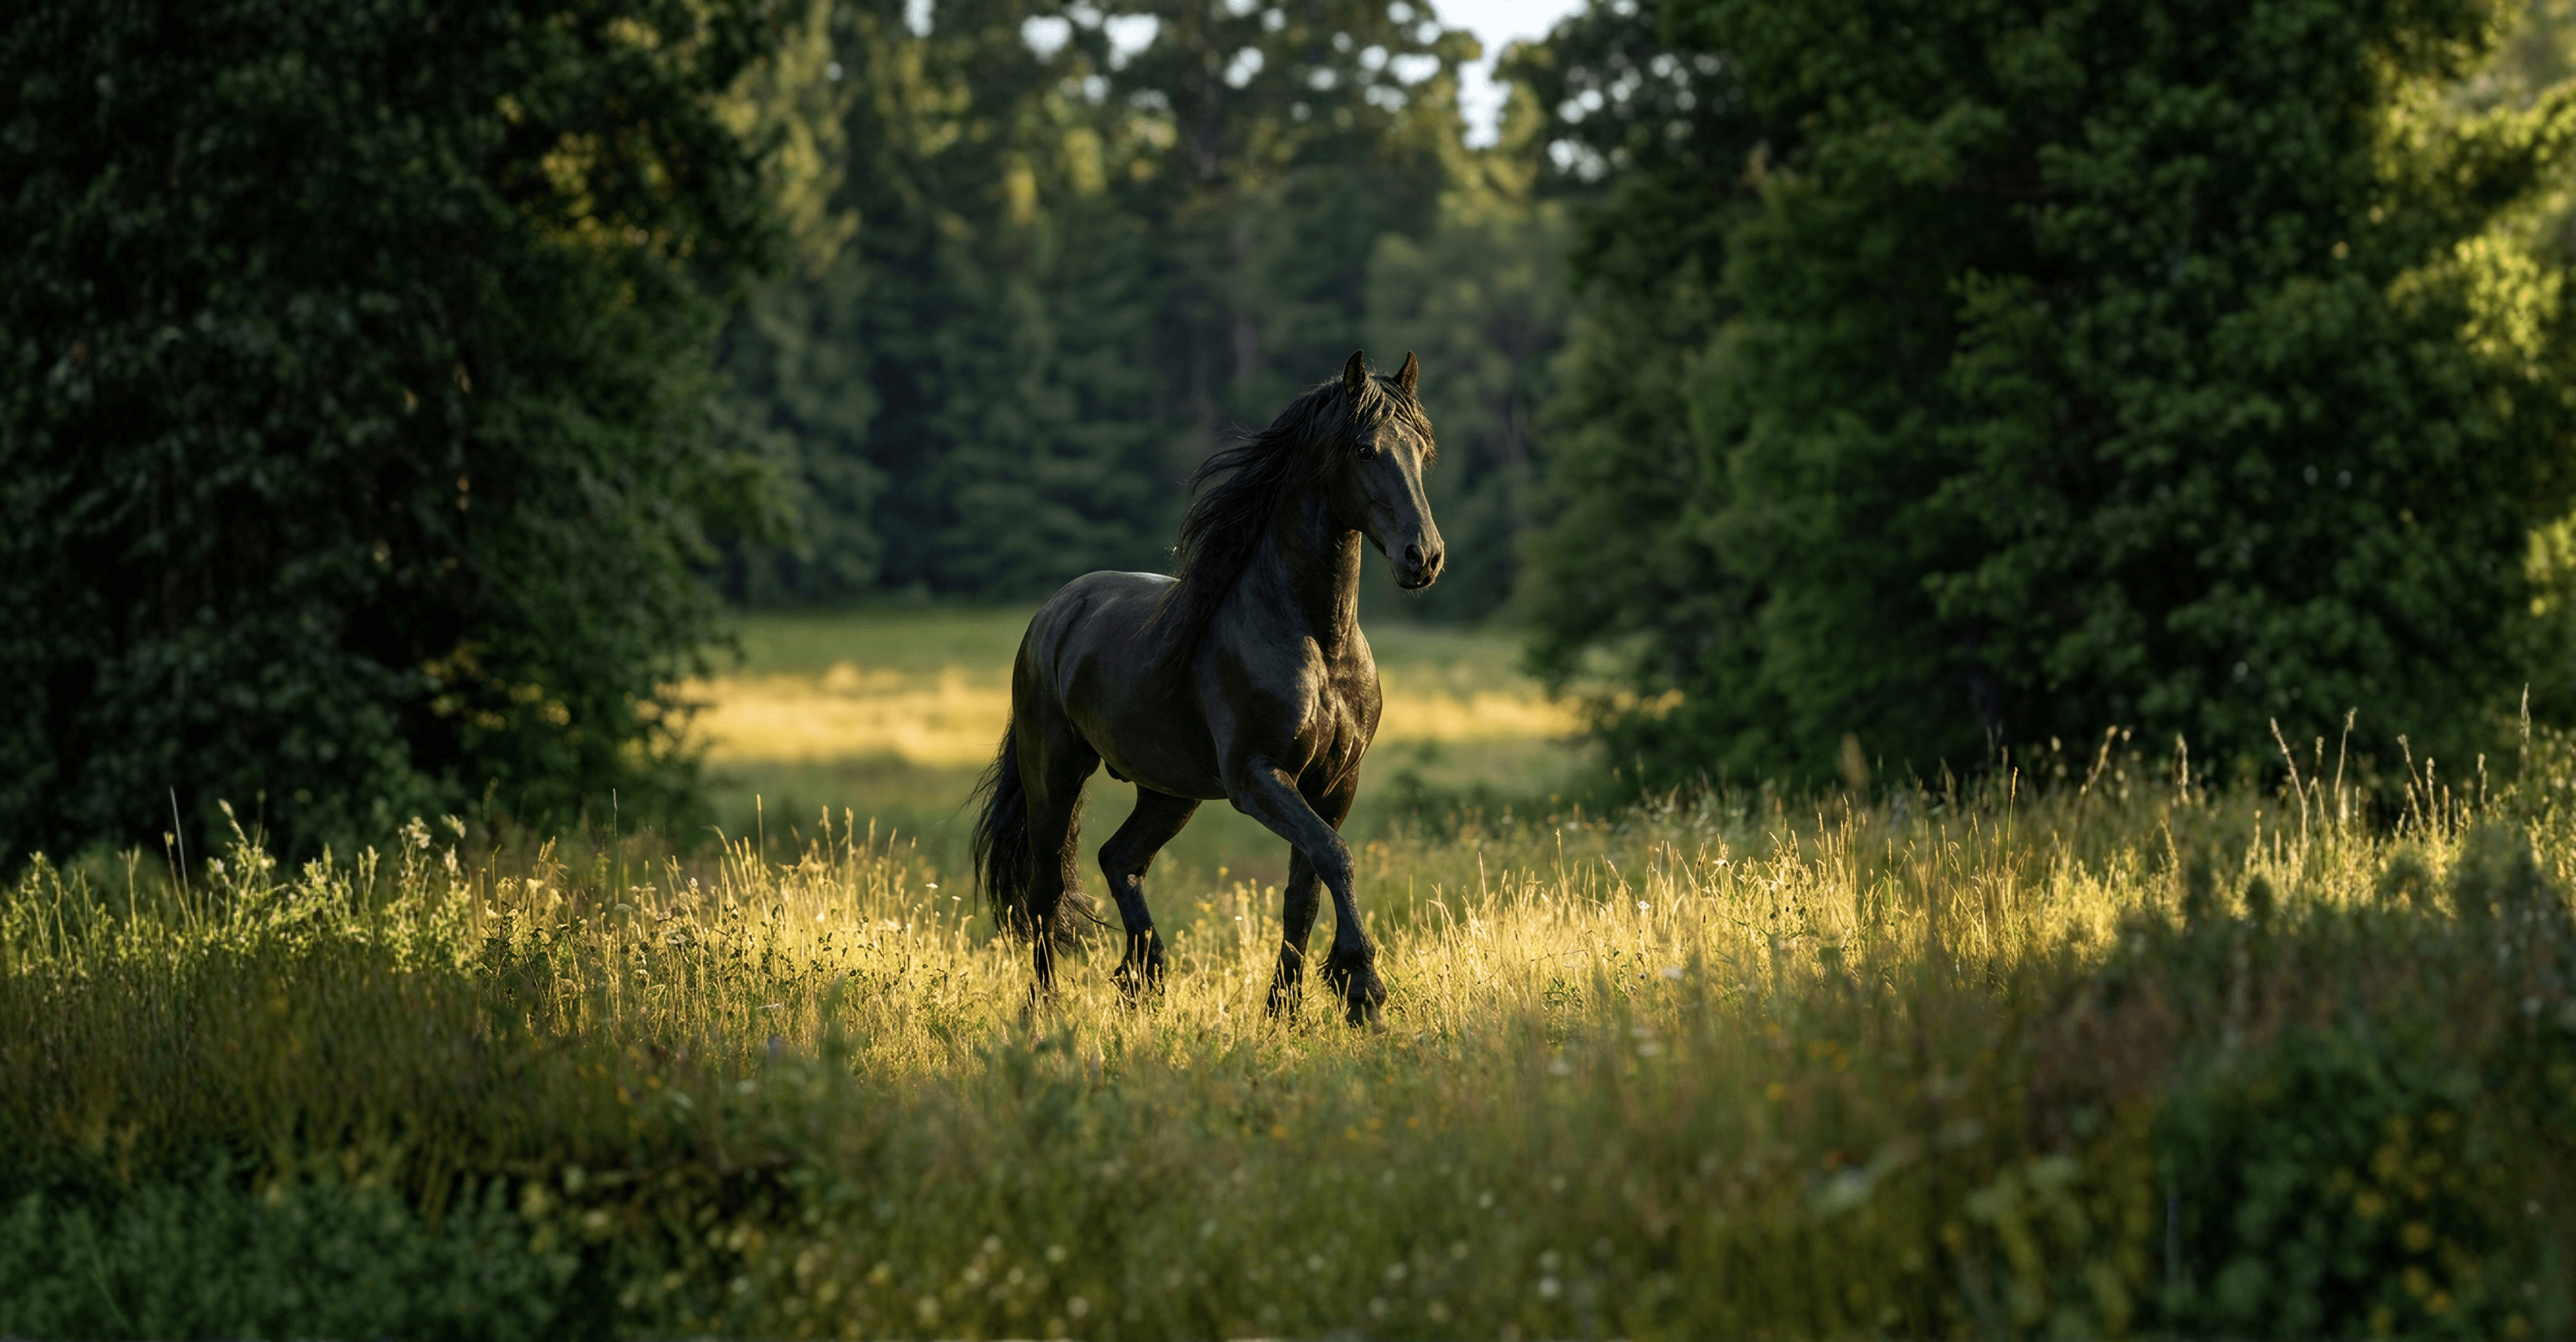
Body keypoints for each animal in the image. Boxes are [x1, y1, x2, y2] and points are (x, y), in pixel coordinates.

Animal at [970, 350, 1443, 1025]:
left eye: (1423, 451)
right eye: (1364, 451)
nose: (1422, 557)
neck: (1316, 641)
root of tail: (1054, 613)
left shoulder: (1334, 783)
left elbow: (1306, 889)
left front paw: (1285, 1010)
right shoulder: (1258, 776)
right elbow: (1336, 857)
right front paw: (1362, 985)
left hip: (1169, 792)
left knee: (1119, 859)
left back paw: (1144, 978)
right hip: (1053, 774)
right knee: (1045, 893)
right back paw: (1045, 1010)